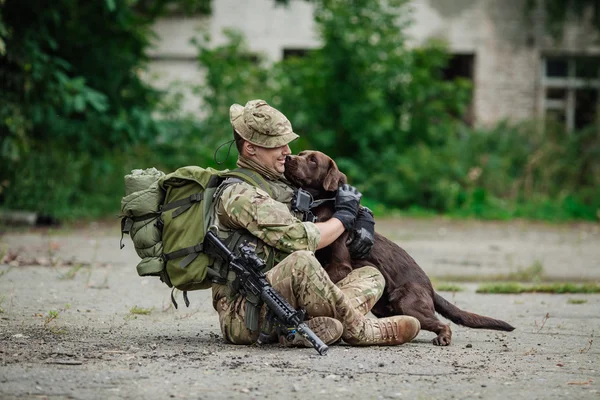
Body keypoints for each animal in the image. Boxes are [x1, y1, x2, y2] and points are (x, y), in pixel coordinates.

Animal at [284, 152, 516, 346]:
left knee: (441, 323)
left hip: (407, 302)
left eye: (313, 160)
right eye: (302, 153)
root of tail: (430, 288)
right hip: (386, 308)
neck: (319, 207)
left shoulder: (341, 266)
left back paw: (442, 337)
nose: (288, 157)